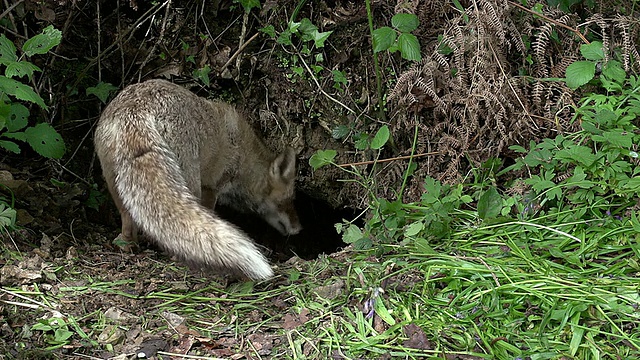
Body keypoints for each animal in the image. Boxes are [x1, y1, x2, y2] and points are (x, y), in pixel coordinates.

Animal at [94, 79, 302, 282]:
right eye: (287, 200)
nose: (298, 229)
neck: (243, 155)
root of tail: (136, 109)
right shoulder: (212, 186)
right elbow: (209, 214)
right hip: (189, 183)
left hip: (114, 182)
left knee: (127, 222)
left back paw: (127, 245)